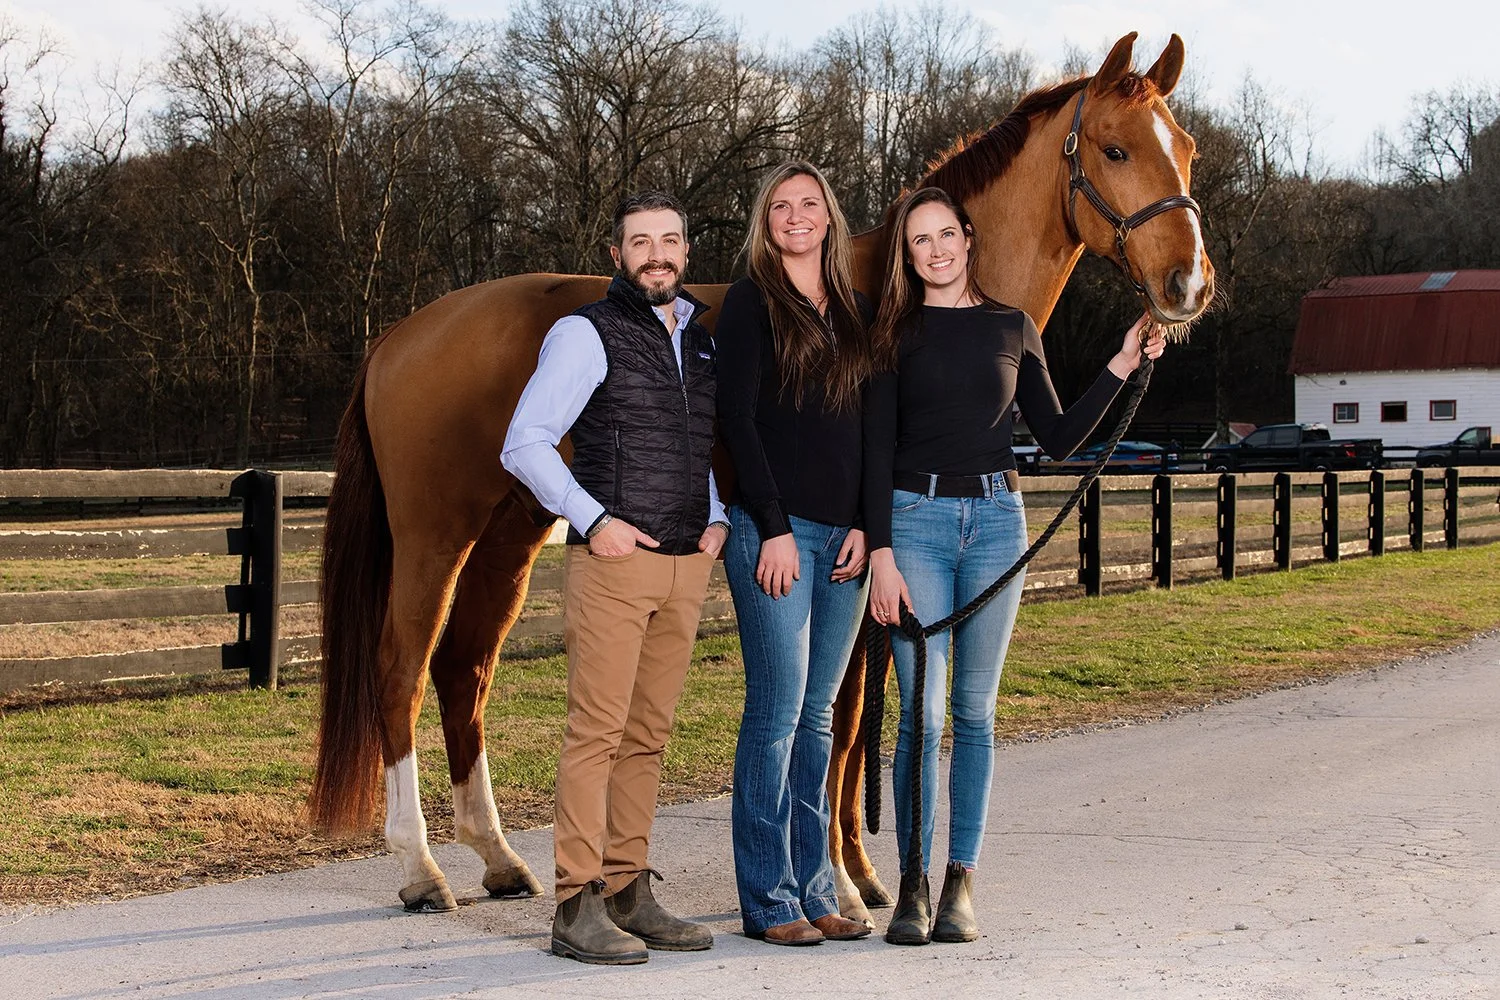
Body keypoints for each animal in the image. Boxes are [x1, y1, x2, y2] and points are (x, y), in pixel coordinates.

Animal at [308, 31, 1214, 918]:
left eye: (1188, 150)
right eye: (1114, 148)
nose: (1188, 285)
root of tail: (398, 336)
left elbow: (853, 717)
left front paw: (862, 875)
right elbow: (841, 719)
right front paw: (843, 881)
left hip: (513, 528)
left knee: (463, 668)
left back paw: (498, 858)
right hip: (435, 532)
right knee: (400, 668)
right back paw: (421, 869)